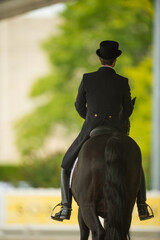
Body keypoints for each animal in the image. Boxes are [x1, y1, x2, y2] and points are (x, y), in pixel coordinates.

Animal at [70, 98, 142, 239]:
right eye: (129, 125)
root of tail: (112, 139)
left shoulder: (81, 208)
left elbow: (84, 232)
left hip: (87, 205)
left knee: (98, 232)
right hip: (125, 206)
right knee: (119, 231)